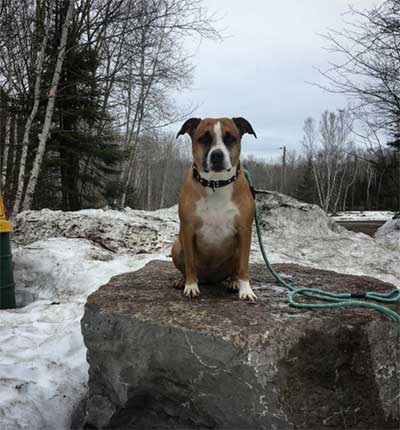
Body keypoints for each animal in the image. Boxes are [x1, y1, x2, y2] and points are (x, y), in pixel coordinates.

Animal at [171, 116, 258, 300]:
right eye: (204, 138)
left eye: (230, 138)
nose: (217, 155)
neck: (216, 183)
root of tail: (209, 279)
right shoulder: (188, 229)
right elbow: (190, 263)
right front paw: (191, 286)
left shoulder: (244, 230)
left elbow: (244, 265)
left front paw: (246, 290)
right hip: (176, 246)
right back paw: (183, 280)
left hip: (236, 250)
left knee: (235, 270)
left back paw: (234, 282)